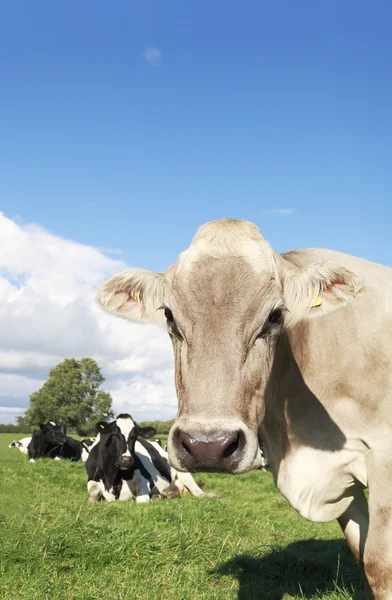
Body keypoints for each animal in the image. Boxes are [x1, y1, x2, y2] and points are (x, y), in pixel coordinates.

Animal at [86, 414, 219, 504]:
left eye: (135, 436)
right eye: (113, 434)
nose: (126, 460)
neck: (112, 479)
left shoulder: (146, 478)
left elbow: (142, 500)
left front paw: (155, 497)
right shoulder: (91, 477)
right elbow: (93, 491)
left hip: (183, 471)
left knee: (198, 492)